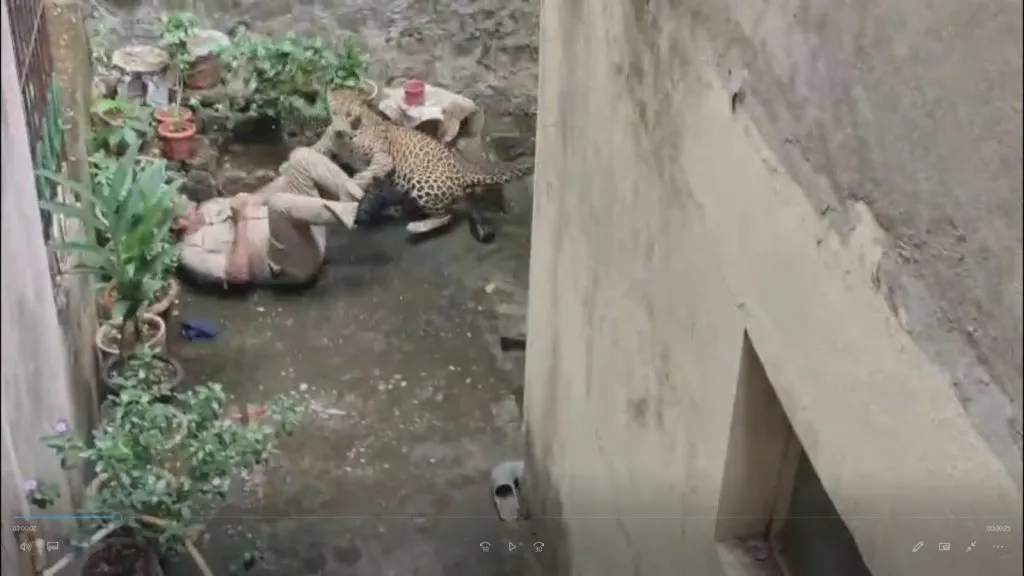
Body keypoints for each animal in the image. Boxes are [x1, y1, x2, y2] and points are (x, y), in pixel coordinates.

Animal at [315, 87, 533, 238]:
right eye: (334, 112)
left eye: (351, 115)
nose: (340, 130)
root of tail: (462, 172)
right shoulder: (326, 144)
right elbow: (317, 150)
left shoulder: (383, 156)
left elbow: (370, 171)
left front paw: (355, 184)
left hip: (420, 181)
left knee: (446, 215)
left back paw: (416, 226)